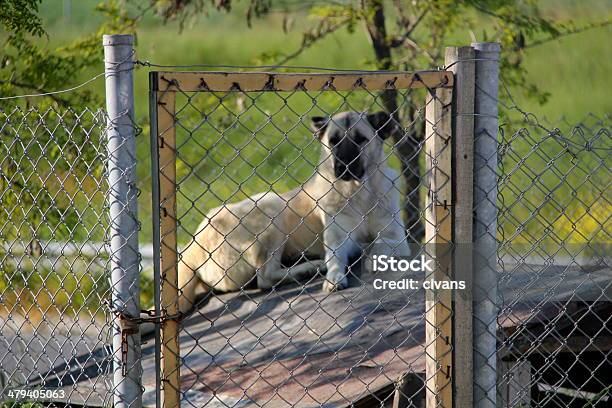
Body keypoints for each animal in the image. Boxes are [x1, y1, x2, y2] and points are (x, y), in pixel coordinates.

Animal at [179, 110, 414, 314]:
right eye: (333, 141)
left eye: (361, 139)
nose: (342, 167)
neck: (358, 193)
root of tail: (191, 246)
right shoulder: (338, 241)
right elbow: (336, 258)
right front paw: (334, 277)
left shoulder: (396, 238)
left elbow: (381, 242)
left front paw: (372, 256)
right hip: (271, 205)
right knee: (265, 277)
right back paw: (310, 267)